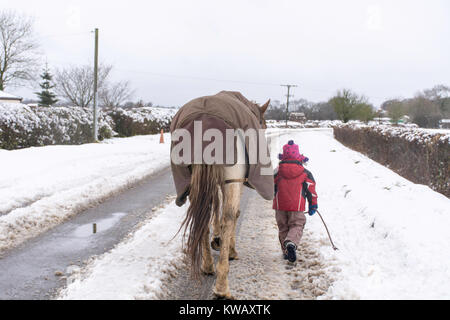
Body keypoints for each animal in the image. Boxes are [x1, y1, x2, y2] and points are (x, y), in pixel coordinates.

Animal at [171, 90, 272, 300]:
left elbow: (214, 209)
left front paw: (216, 239)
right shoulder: (234, 182)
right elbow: (232, 215)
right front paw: (227, 246)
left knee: (203, 216)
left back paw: (208, 265)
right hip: (232, 181)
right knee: (229, 217)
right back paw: (222, 285)